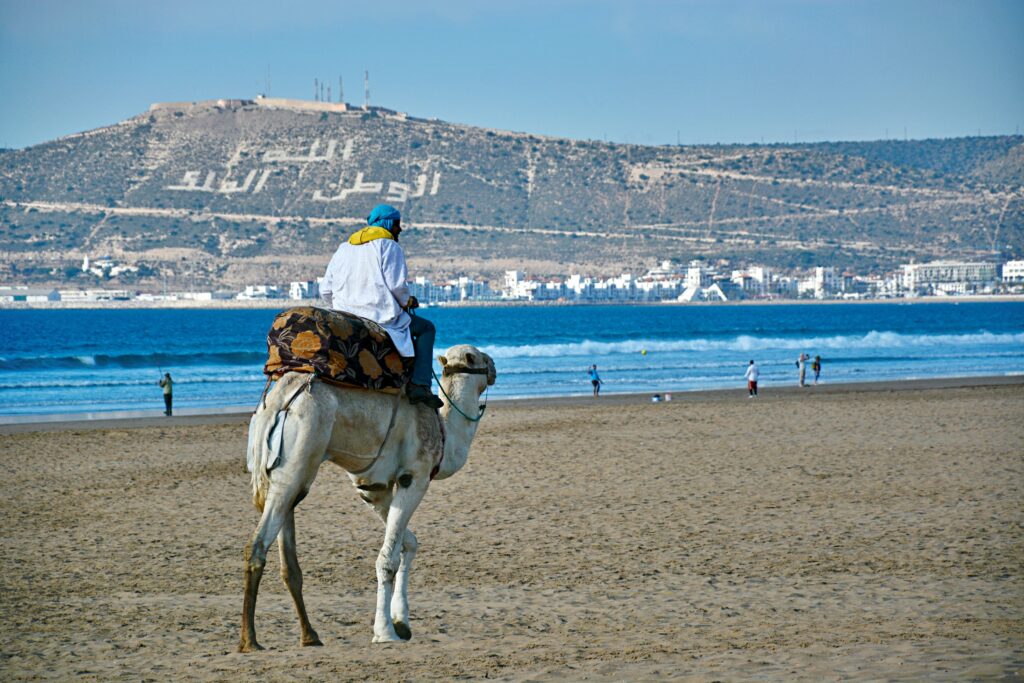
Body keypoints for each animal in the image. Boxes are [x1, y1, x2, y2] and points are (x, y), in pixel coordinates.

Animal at [240, 344, 496, 652]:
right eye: (477, 357)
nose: (493, 367)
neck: (444, 432)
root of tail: (280, 399)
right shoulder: (415, 476)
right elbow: (387, 559)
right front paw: (385, 632)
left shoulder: (373, 488)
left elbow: (408, 543)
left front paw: (402, 622)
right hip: (298, 458)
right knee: (258, 544)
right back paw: (250, 641)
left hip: (283, 471)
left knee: (286, 558)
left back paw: (309, 635)